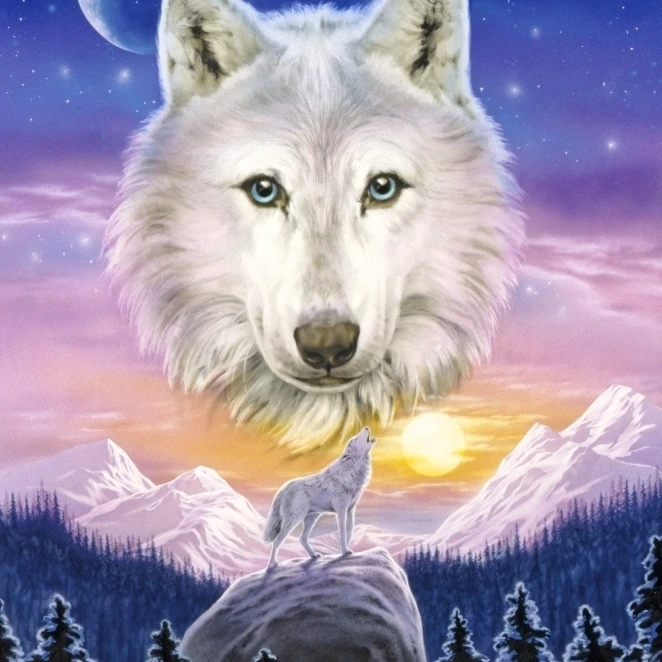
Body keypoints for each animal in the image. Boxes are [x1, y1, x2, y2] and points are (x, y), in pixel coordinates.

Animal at [263, 426, 375, 567]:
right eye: (355, 438)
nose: (367, 427)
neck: (351, 471)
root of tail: (283, 488)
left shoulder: (351, 509)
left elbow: (350, 531)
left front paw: (346, 550)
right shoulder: (341, 510)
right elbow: (342, 532)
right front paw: (344, 551)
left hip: (312, 518)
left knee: (302, 538)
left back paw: (313, 555)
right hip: (294, 520)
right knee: (277, 541)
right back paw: (272, 563)